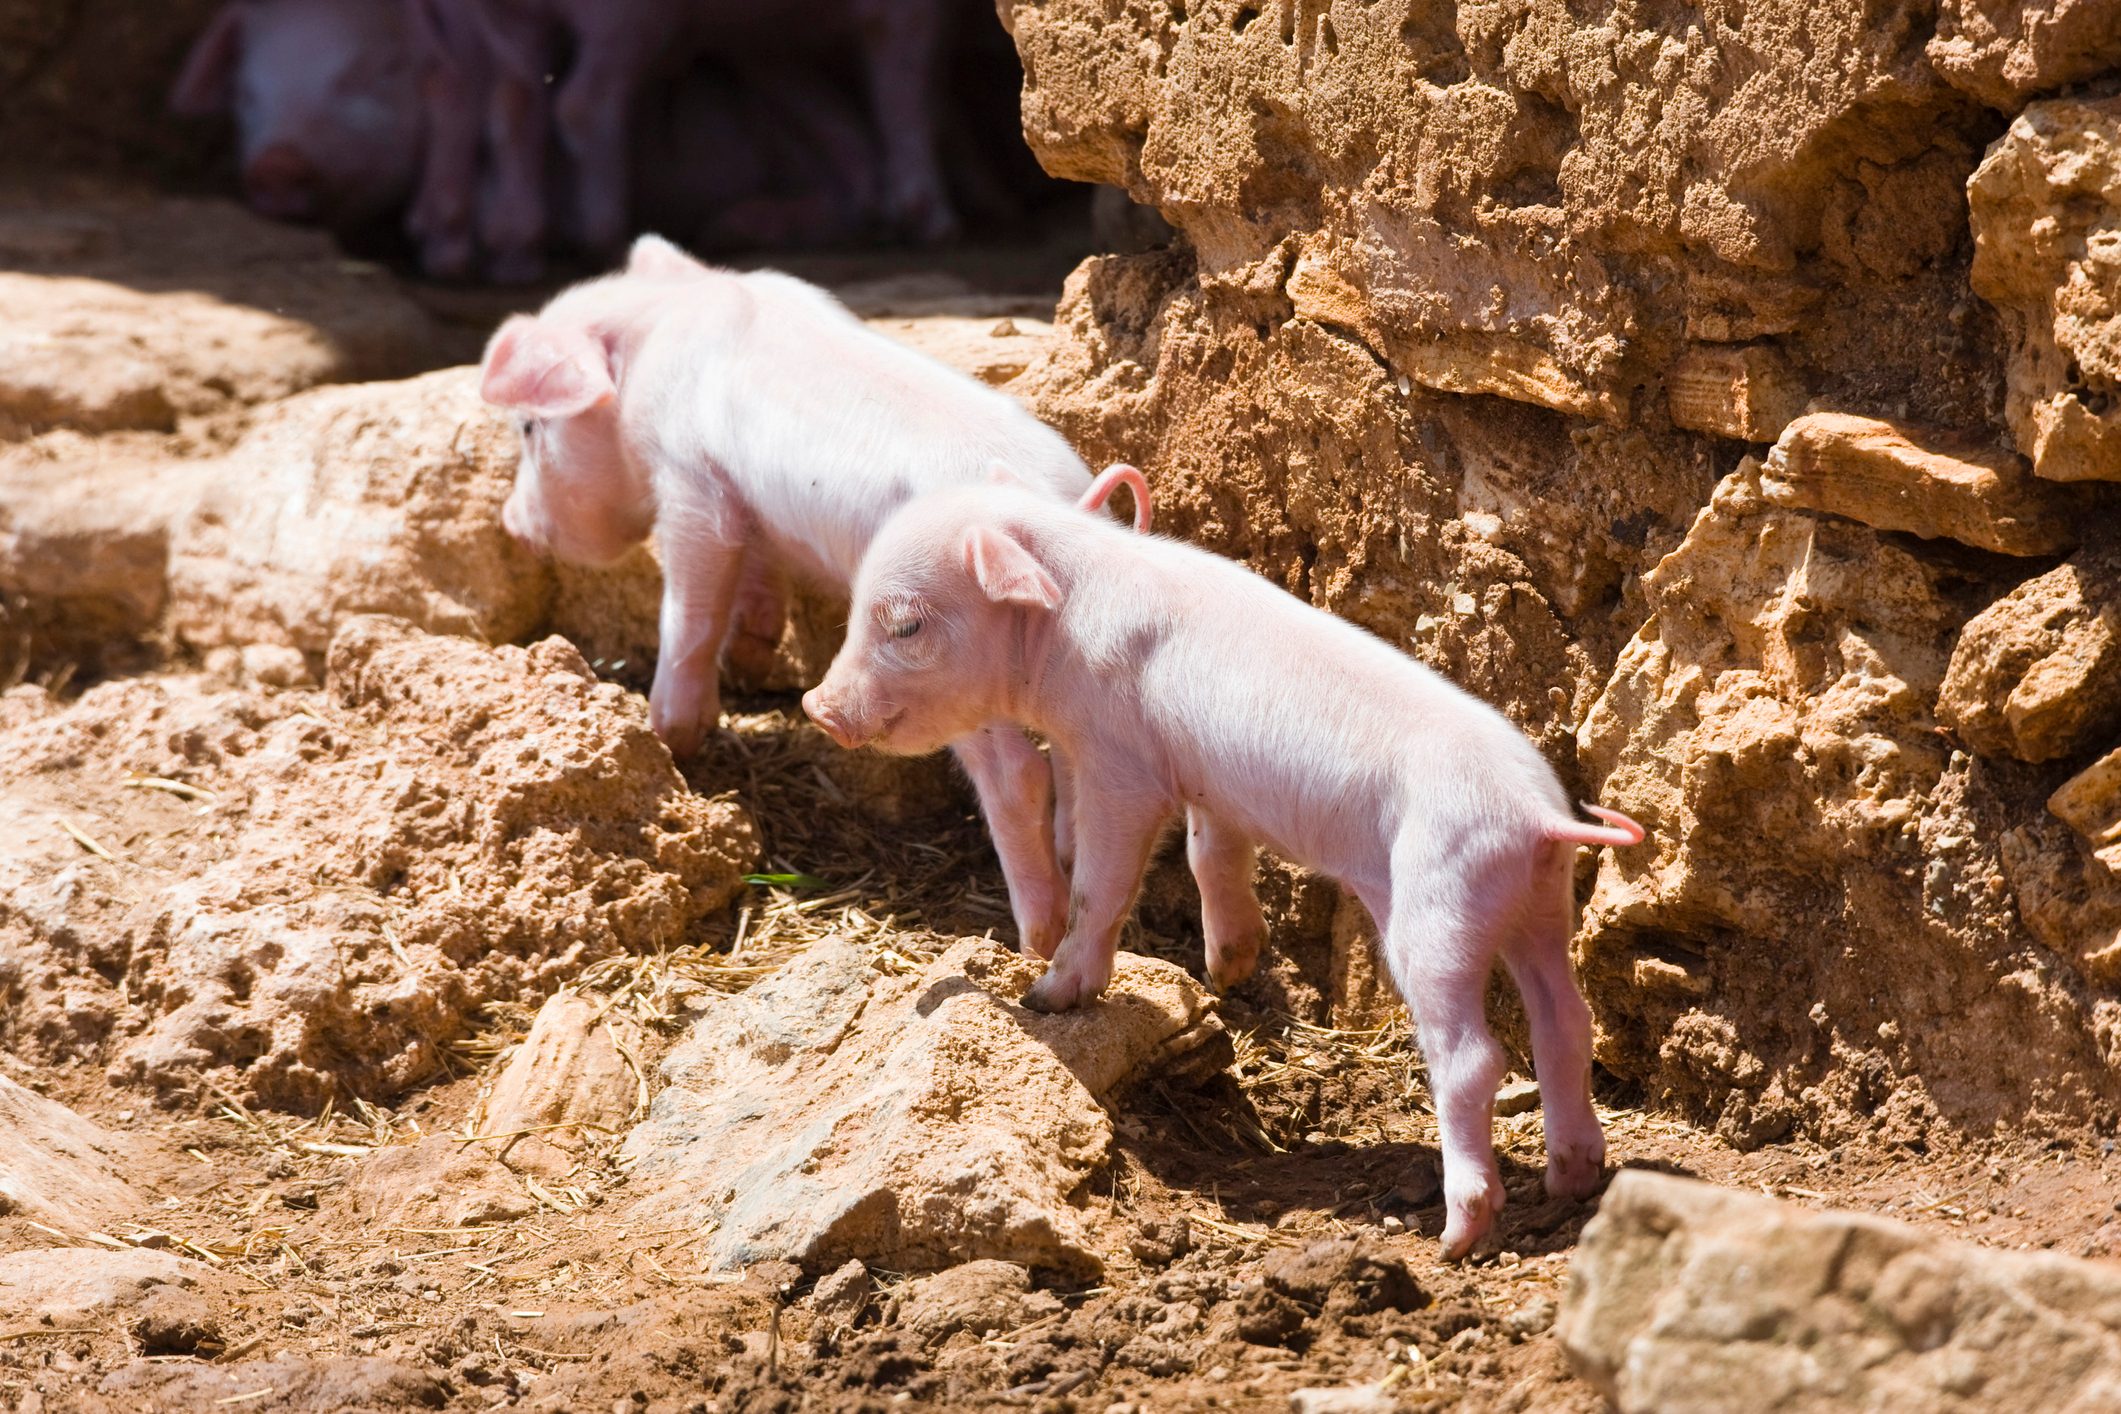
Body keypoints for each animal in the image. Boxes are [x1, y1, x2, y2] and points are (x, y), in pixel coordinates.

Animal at [480, 235, 1110, 959]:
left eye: (530, 429)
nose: (511, 524)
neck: (657, 327)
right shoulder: (746, 503)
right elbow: (756, 572)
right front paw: (750, 664)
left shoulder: (691, 483)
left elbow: (691, 611)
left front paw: (670, 734)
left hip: (953, 680)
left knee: (1018, 773)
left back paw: (1036, 940)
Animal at [801, 482, 1646, 1258]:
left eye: (906, 623)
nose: (816, 706)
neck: (1065, 618)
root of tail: (1536, 816)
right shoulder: (1212, 783)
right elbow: (1212, 855)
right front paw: (1226, 968)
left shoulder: (1120, 763)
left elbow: (1101, 883)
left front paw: (1047, 996)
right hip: (1539, 903)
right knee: (1565, 1022)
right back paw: (1571, 1179)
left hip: (1440, 905)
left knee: (1473, 1057)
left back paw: (1457, 1235)